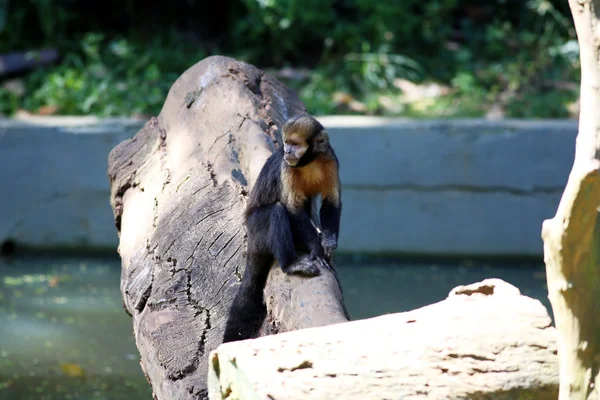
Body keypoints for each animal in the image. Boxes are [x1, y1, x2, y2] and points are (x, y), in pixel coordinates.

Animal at [221, 113, 342, 344]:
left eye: (295, 144)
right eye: (286, 143)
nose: (287, 151)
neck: (309, 161)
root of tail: (251, 239)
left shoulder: (330, 159)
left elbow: (332, 202)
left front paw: (328, 243)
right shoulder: (287, 168)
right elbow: (292, 208)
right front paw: (316, 249)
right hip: (256, 228)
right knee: (277, 211)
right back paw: (290, 265)